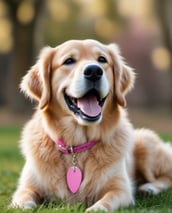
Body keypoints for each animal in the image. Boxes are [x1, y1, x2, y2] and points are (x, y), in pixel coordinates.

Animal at [10, 39, 172, 211]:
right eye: (69, 61)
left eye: (102, 59)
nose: (94, 71)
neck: (76, 145)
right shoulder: (26, 187)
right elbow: (22, 201)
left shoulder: (121, 190)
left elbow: (105, 202)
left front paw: (95, 208)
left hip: (146, 144)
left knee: (166, 176)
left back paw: (150, 187)